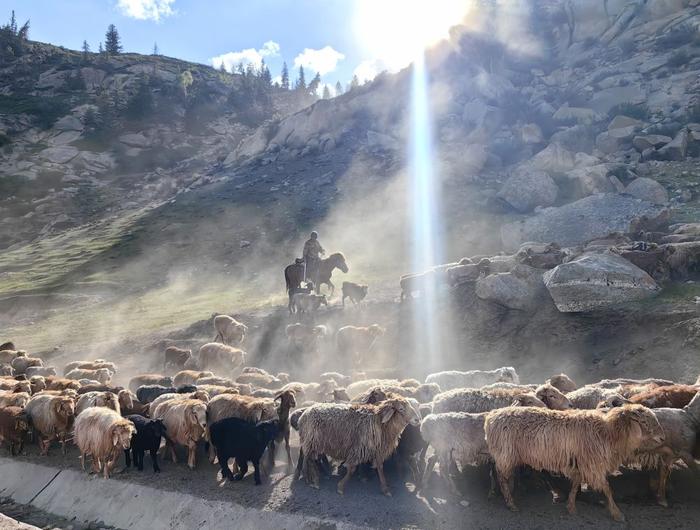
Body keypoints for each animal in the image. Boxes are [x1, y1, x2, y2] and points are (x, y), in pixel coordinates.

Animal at [484, 404, 664, 520]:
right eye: (644, 421)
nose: (663, 438)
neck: (609, 434)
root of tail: (490, 417)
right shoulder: (593, 465)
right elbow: (607, 488)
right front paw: (617, 513)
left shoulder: (579, 464)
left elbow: (576, 484)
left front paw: (571, 506)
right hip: (505, 454)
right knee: (502, 478)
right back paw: (510, 503)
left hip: (506, 455)